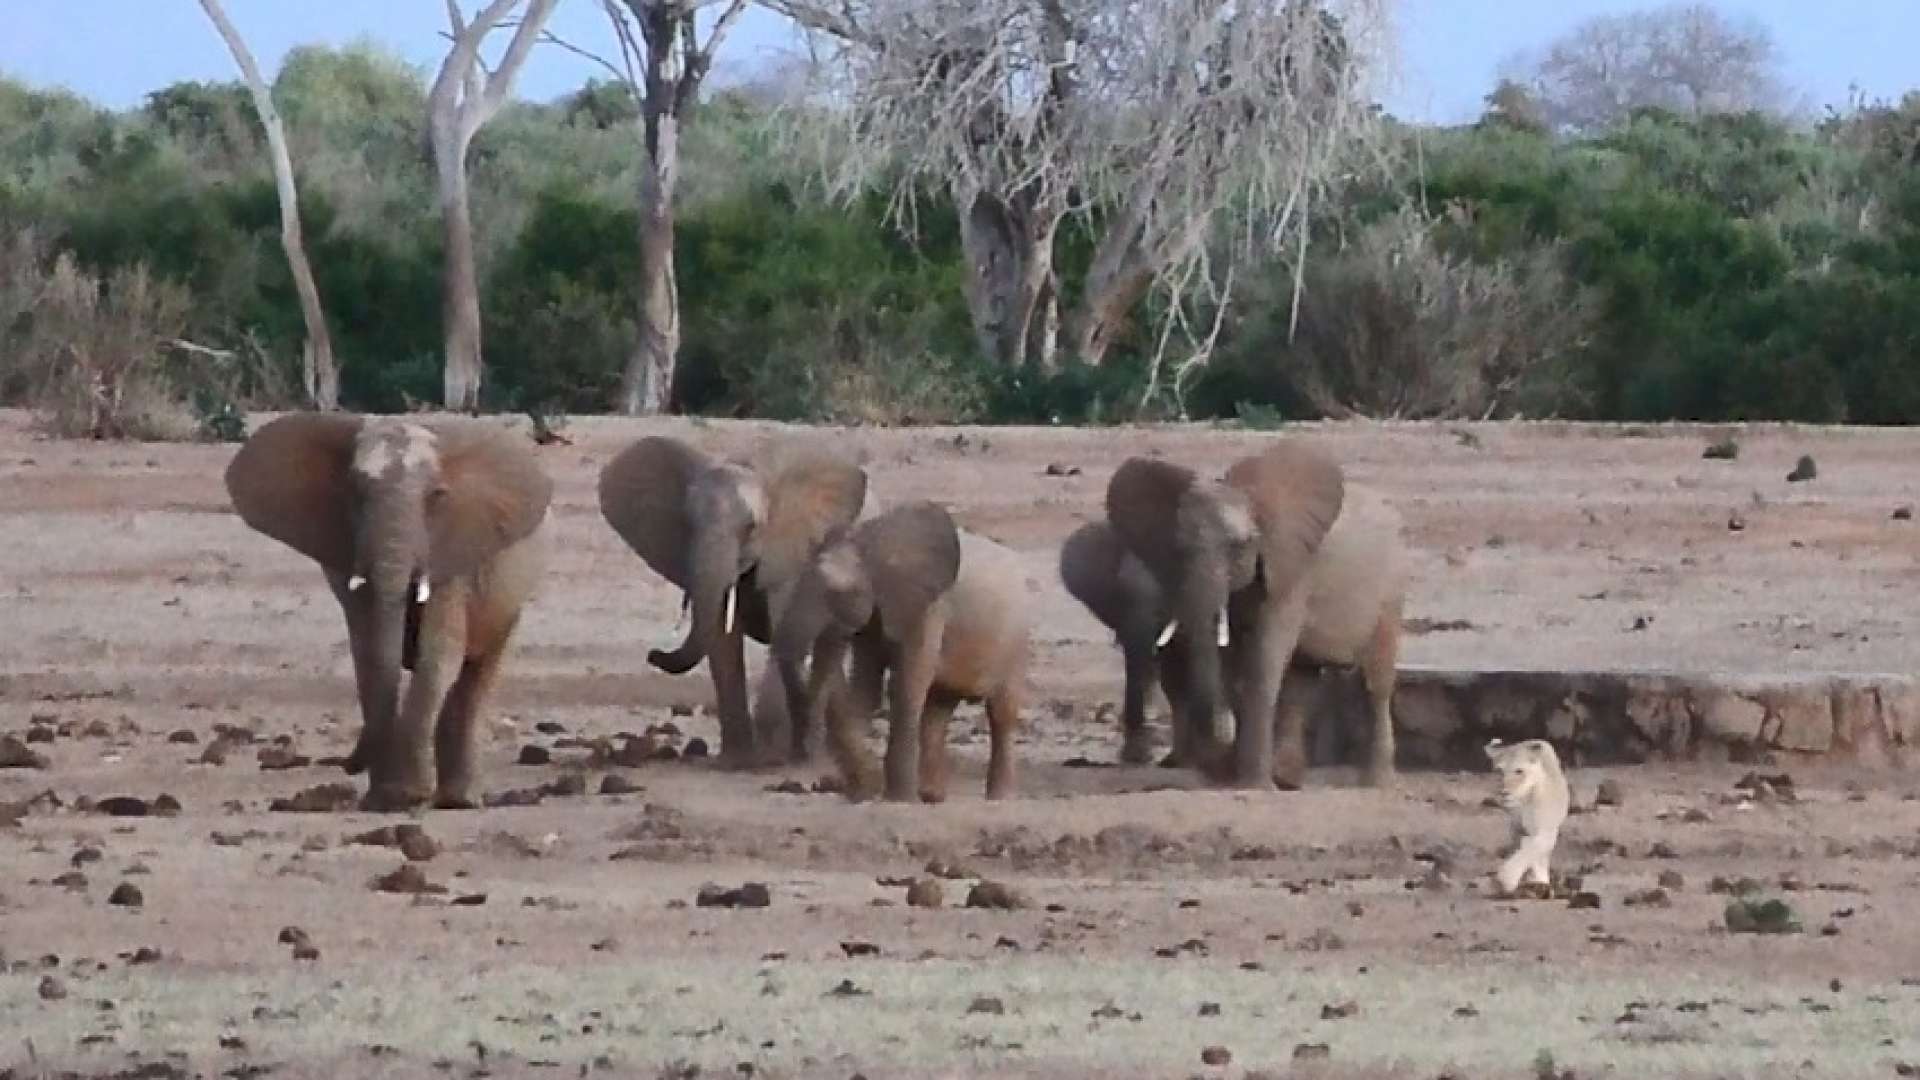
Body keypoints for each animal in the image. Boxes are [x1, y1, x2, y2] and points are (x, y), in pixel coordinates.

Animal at [224, 412, 552, 812]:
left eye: (436, 497)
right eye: (356, 494)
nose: (349, 764)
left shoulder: (453, 553)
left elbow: (437, 655)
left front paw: (404, 797)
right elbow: (369, 653)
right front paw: (387, 799)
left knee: (476, 674)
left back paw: (458, 802)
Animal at [597, 435, 869, 767]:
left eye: (751, 528)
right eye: (687, 525)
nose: (653, 654)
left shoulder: (792, 552)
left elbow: (783, 629)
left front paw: (778, 756)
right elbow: (721, 637)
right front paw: (736, 761)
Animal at [773, 502, 1032, 803]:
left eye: (838, 592)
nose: (809, 781)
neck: (872, 543)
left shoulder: (931, 608)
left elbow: (906, 684)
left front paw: (898, 799)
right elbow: (865, 687)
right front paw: (864, 793)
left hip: (1016, 644)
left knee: (1001, 713)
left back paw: (998, 797)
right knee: (937, 712)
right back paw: (932, 796)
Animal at [1104, 441, 1405, 790]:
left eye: (1240, 546)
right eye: (1178, 548)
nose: (1212, 770)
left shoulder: (1290, 570)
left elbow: (1263, 658)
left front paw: (1253, 786)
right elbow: (1232, 666)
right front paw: (1238, 779)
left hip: (1391, 590)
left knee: (1376, 682)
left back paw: (1375, 782)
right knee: (1302, 679)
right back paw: (1287, 780)